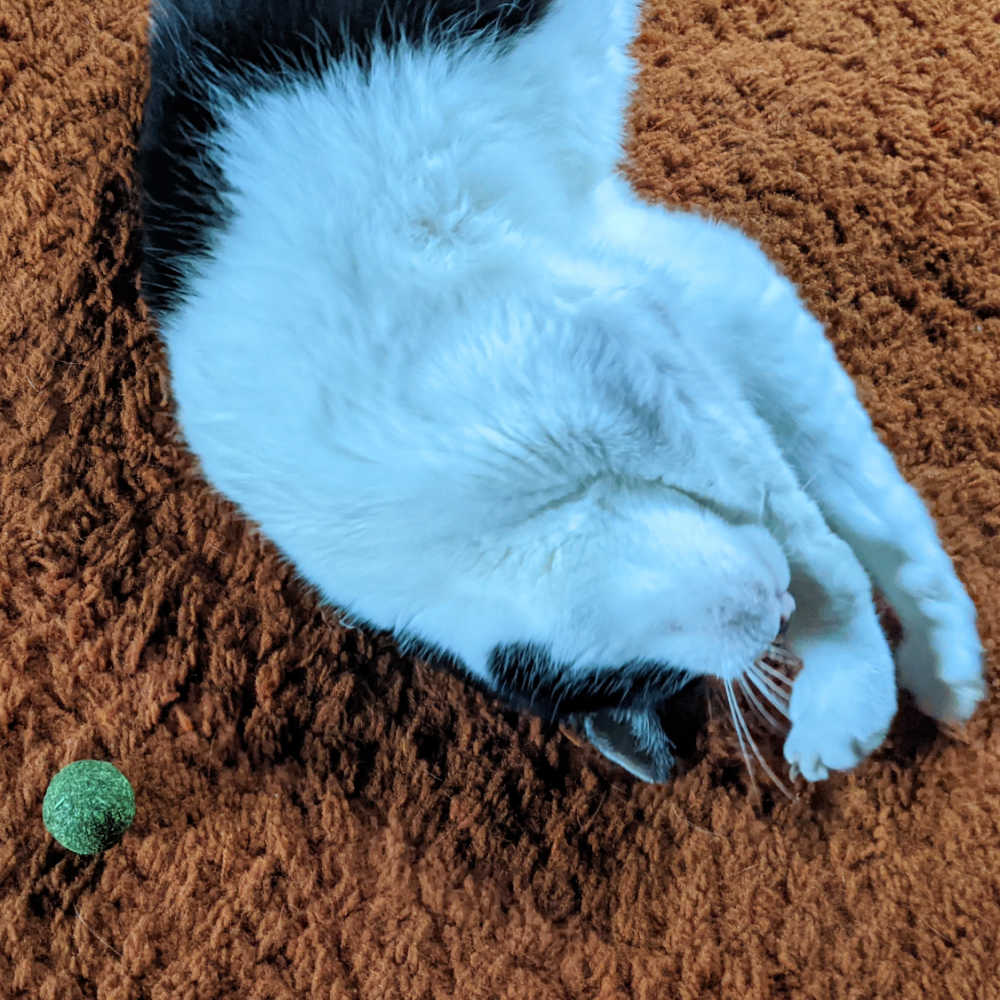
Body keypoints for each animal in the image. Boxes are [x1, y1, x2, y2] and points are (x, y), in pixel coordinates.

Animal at [137, 0, 988, 784]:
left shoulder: (615, 350)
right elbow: (841, 491)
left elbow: (819, 534)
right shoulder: (675, 284)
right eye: (661, 681)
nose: (771, 615)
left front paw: (855, 682)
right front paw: (930, 658)